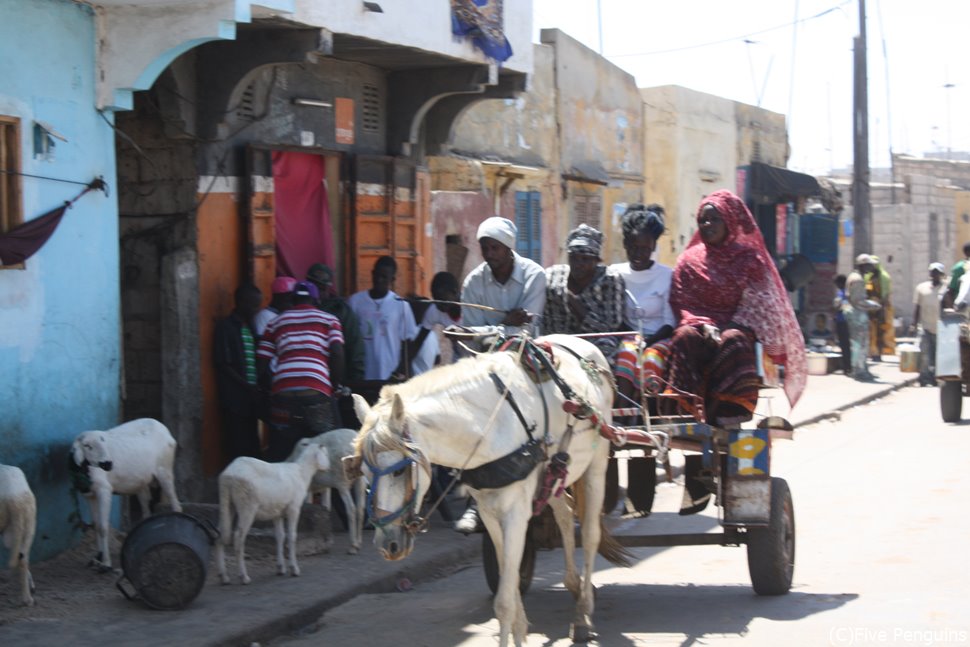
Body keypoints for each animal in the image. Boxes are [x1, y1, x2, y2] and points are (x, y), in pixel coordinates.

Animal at [70, 418, 182, 568]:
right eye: (87, 445)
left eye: (103, 441)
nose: (108, 464)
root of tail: (163, 427)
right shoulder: (89, 495)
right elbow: (96, 526)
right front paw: (98, 557)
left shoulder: (104, 490)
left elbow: (103, 527)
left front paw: (106, 563)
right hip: (142, 482)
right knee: (146, 510)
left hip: (164, 471)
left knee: (176, 505)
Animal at [215, 442, 328, 584]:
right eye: (326, 453)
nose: (328, 467)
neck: (302, 472)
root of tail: (228, 476)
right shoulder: (294, 508)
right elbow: (292, 536)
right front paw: (294, 569)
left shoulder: (277, 512)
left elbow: (280, 536)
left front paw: (280, 568)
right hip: (247, 504)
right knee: (238, 538)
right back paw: (244, 576)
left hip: (227, 503)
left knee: (220, 533)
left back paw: (224, 576)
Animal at [348, 336, 628, 644]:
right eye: (363, 474)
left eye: (398, 470)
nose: (388, 545)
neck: (488, 427)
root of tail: (582, 344)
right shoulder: (490, 511)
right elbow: (510, 583)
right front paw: (520, 633)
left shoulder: (515, 513)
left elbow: (504, 602)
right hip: (555, 475)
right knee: (565, 516)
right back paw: (574, 585)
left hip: (596, 465)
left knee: (590, 535)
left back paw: (583, 614)